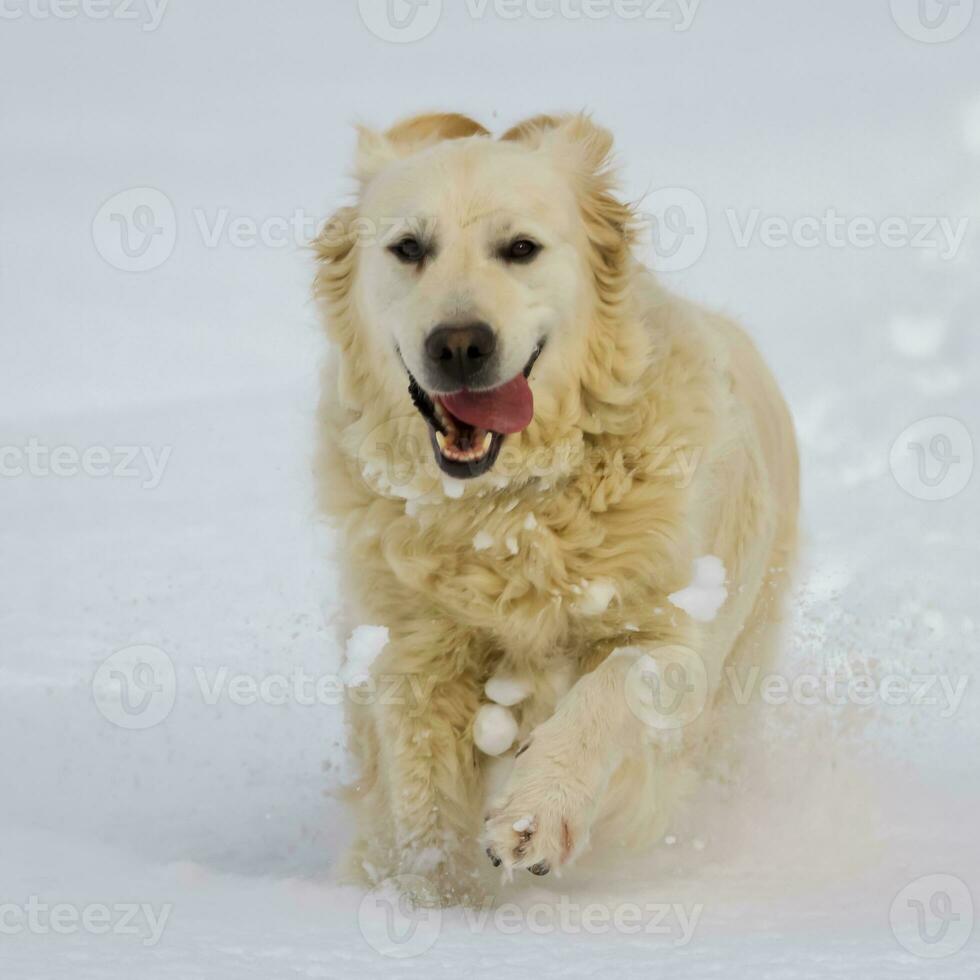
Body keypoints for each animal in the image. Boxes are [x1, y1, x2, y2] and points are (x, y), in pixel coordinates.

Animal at [314, 113, 796, 904]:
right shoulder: (413, 656)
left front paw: (539, 810)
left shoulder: (676, 639)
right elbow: (424, 798)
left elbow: (614, 683)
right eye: (409, 248)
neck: (509, 512)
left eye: (520, 248)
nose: (459, 345)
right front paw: (437, 902)